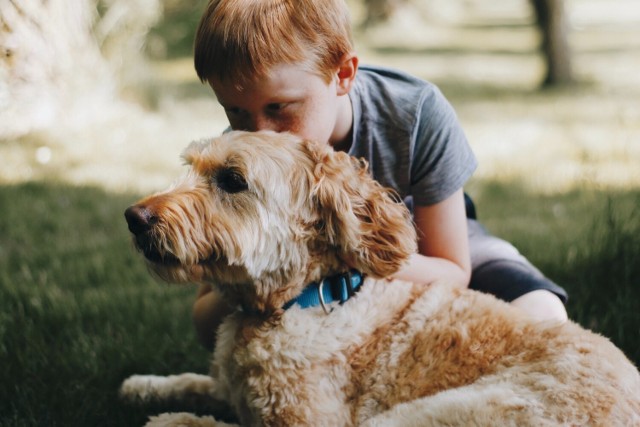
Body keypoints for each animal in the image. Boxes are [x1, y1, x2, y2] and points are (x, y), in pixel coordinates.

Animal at [121, 131, 640, 427]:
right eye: (191, 168)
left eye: (232, 180)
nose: (134, 217)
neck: (300, 300)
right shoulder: (231, 386)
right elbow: (197, 379)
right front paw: (146, 385)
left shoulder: (310, 423)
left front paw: (174, 420)